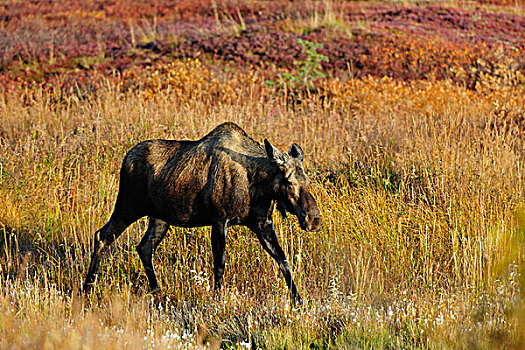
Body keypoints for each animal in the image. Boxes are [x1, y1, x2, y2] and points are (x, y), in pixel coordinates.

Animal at [83, 121, 320, 302]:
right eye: (288, 181)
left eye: (307, 180)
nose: (314, 219)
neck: (258, 186)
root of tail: (126, 159)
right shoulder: (220, 220)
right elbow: (220, 265)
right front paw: (217, 299)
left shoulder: (262, 223)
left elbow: (283, 260)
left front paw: (299, 303)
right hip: (128, 206)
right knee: (102, 235)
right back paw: (87, 289)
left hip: (160, 218)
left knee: (143, 247)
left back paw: (158, 292)